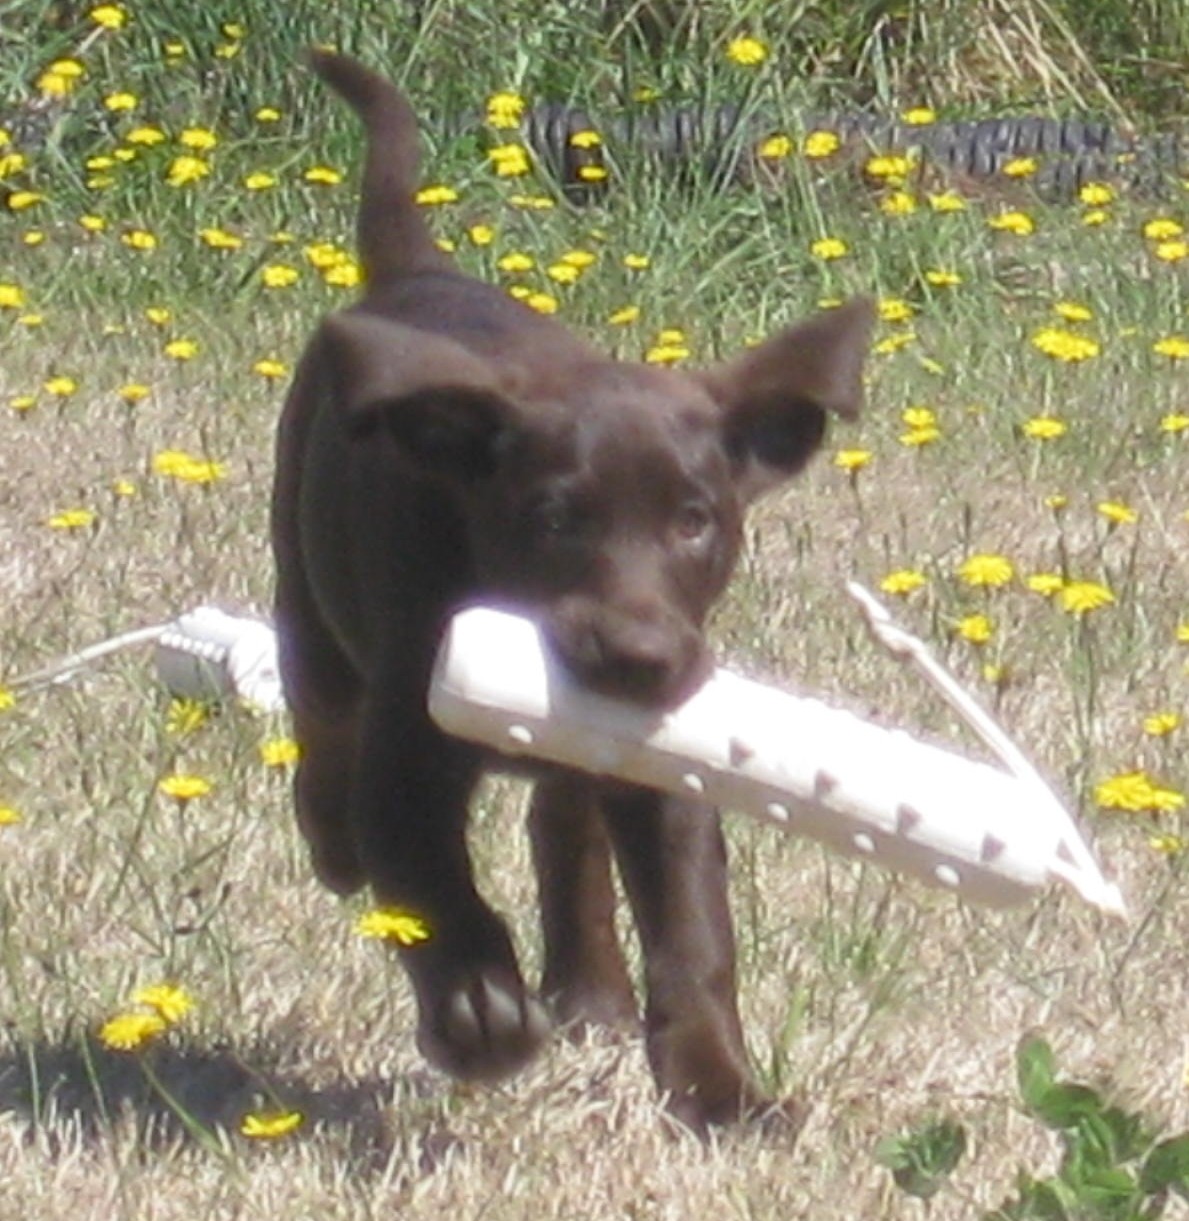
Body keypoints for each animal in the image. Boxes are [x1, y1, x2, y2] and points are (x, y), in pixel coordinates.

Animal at [272, 50, 874, 1133]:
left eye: (694, 522)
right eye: (554, 519)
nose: (638, 659)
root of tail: (420, 273)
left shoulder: (667, 771)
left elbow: (692, 936)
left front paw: (718, 1087)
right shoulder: (406, 752)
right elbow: (432, 886)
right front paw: (478, 1012)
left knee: (561, 822)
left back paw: (590, 990)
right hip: (310, 590)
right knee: (322, 718)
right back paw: (334, 842)